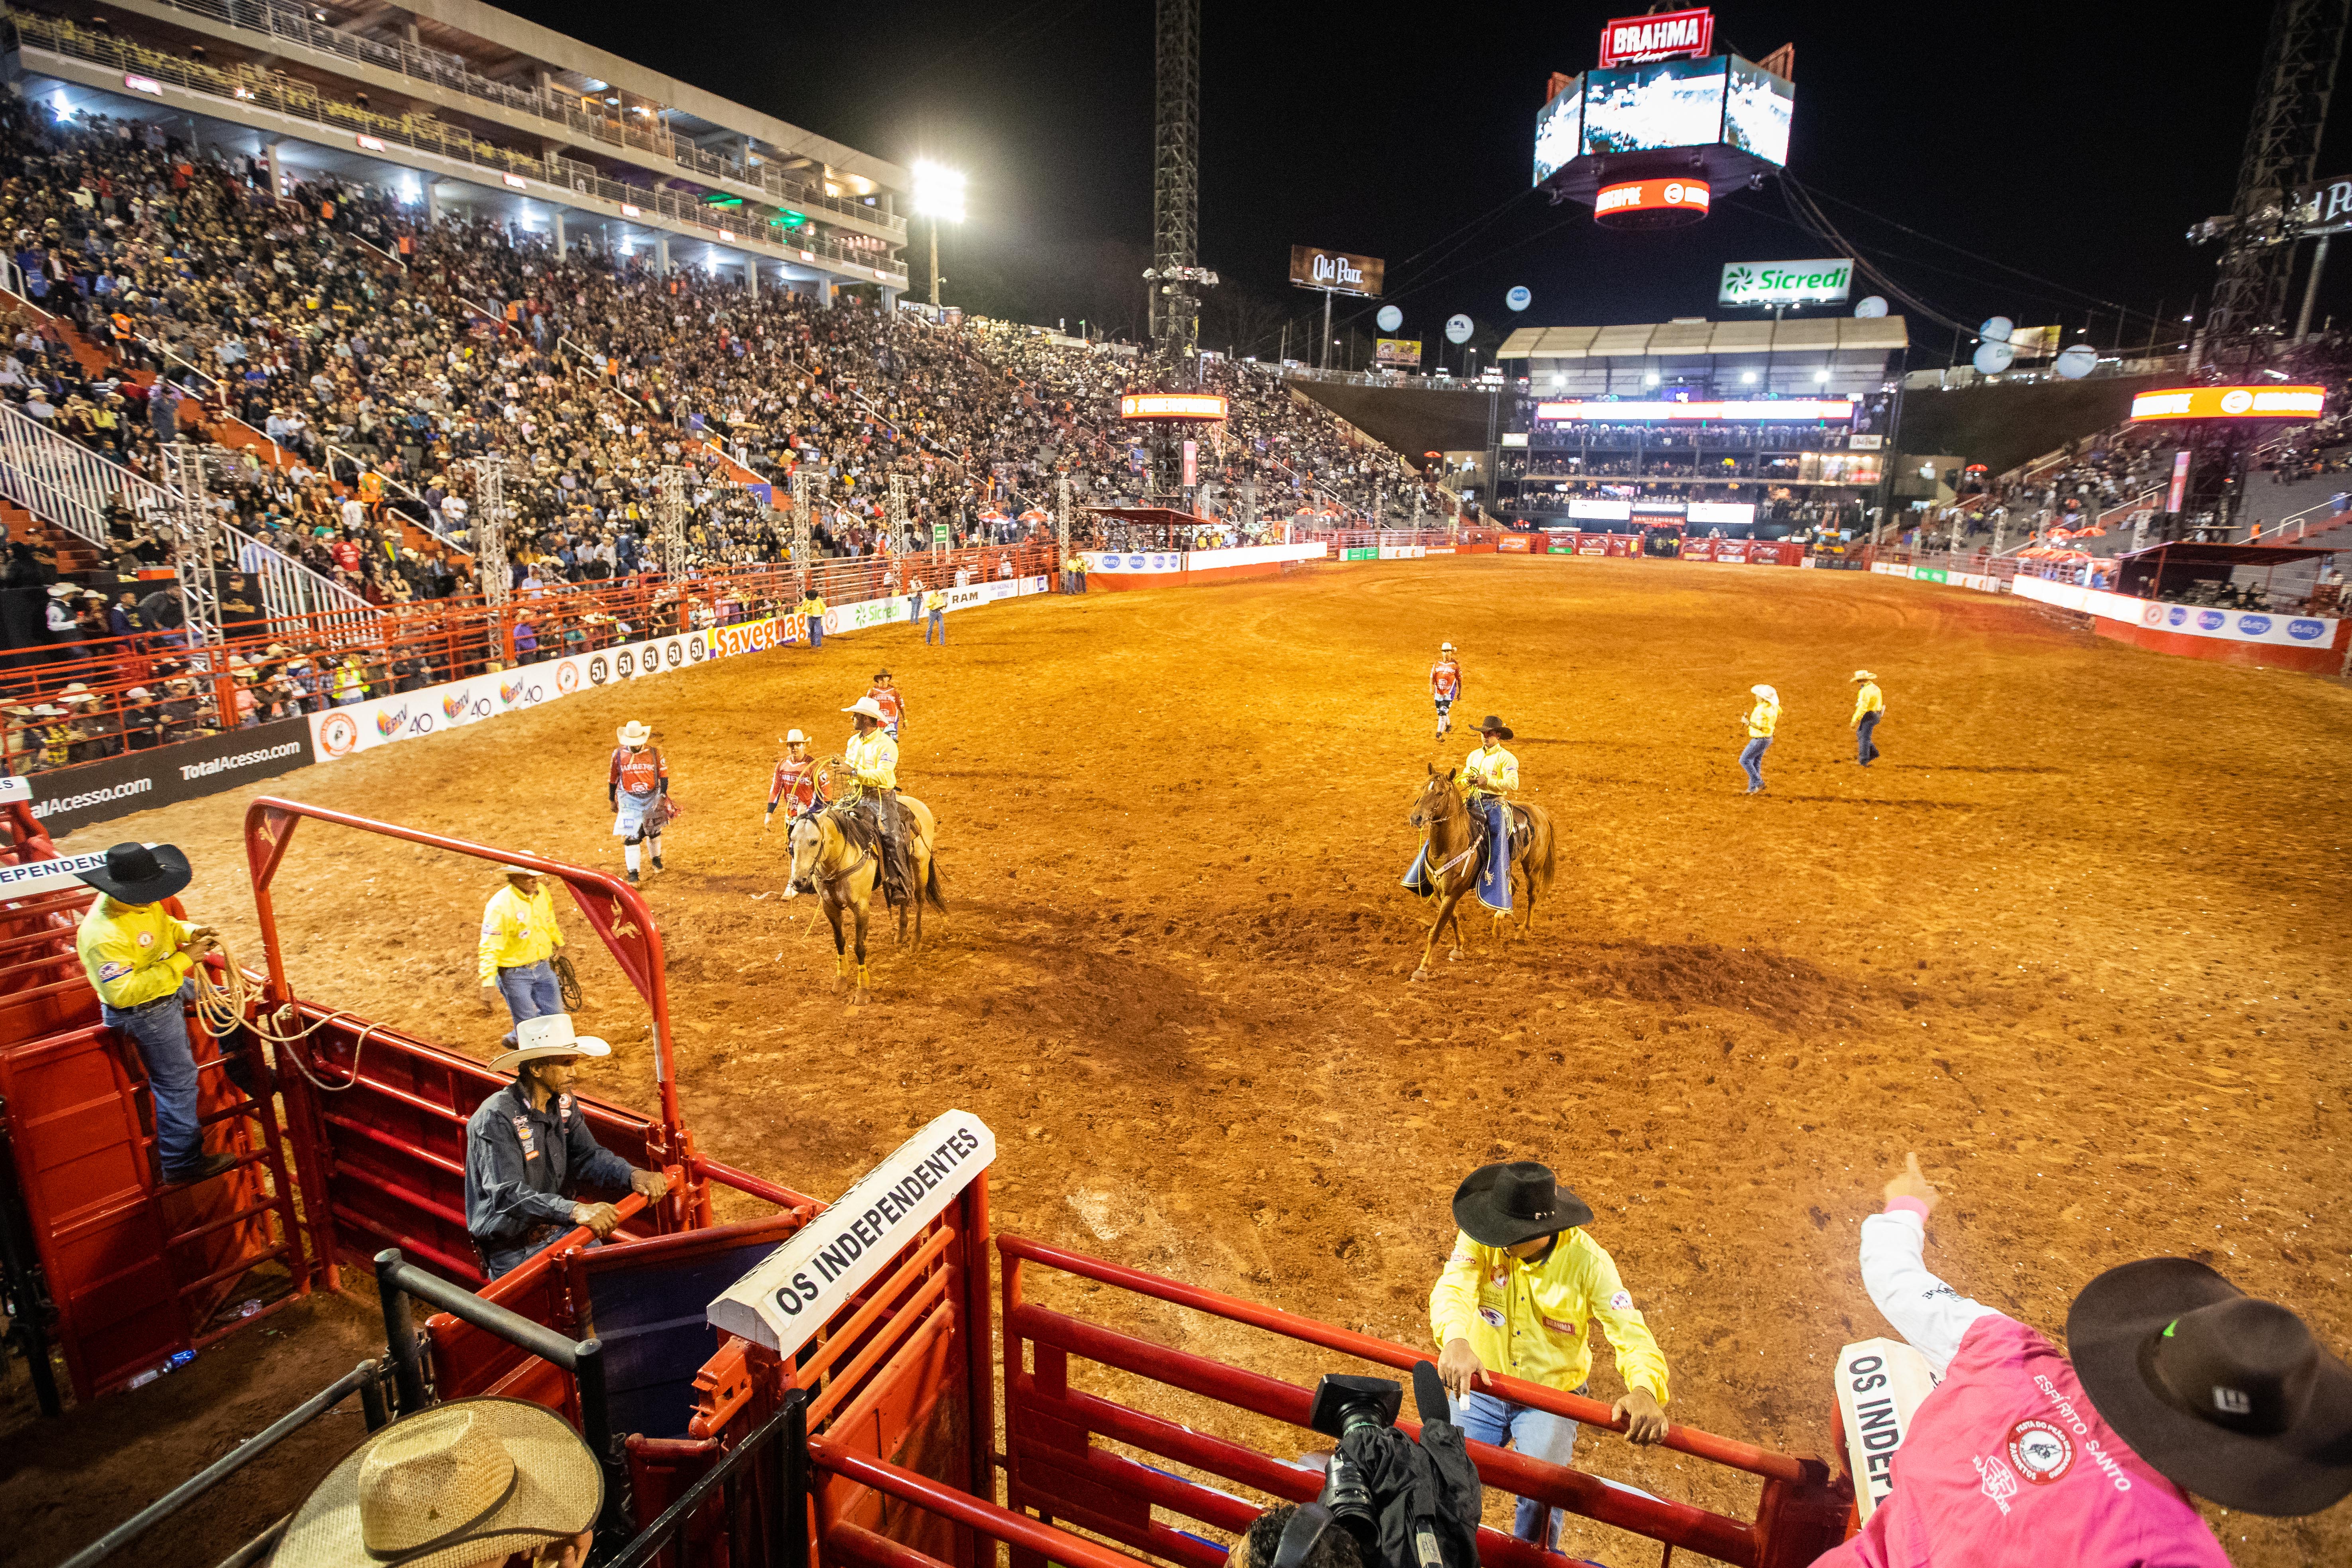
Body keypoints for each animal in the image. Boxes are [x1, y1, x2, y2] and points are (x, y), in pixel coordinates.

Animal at [785, 790, 941, 1011]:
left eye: (814, 841)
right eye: (792, 840)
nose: (799, 882)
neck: (838, 863)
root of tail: (917, 804)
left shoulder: (861, 907)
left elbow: (859, 946)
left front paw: (863, 991)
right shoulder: (829, 906)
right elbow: (840, 941)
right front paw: (841, 980)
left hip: (921, 863)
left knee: (919, 899)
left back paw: (915, 941)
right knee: (904, 894)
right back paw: (901, 933)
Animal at [1401, 761, 1552, 982]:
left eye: (1440, 793)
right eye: (1423, 788)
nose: (1416, 818)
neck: (1451, 845)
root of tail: (1539, 811)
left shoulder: (1453, 893)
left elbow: (1436, 930)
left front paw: (1422, 969)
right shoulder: (1441, 893)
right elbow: (1453, 919)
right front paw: (1459, 948)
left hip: (1533, 867)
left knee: (1532, 895)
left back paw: (1523, 932)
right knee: (1514, 885)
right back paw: (1498, 926)